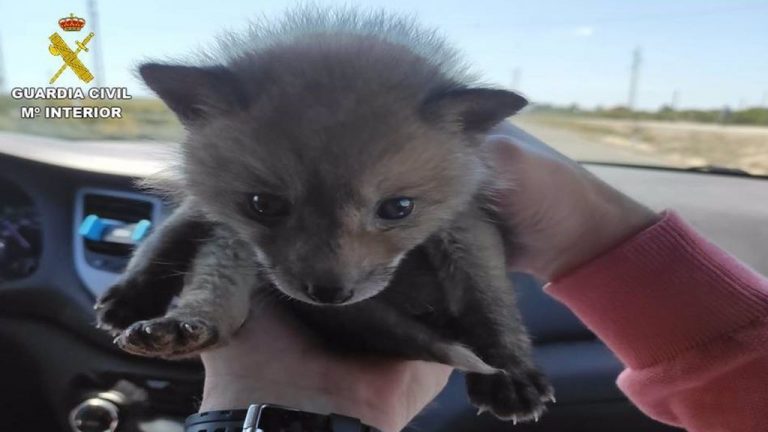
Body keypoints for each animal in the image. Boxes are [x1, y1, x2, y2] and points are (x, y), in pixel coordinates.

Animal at [95, 6, 554, 422]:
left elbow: (488, 297)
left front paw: (510, 369)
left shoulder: (466, 218)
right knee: (176, 238)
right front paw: (189, 320)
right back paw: (143, 302)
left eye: (398, 208)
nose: (330, 295)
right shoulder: (233, 231)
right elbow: (211, 281)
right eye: (263, 204)